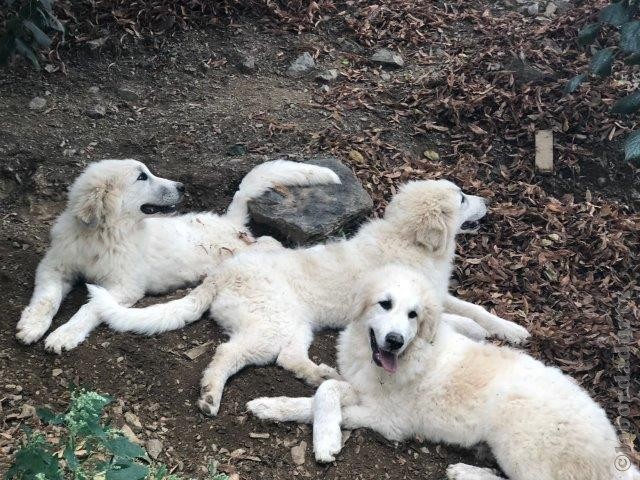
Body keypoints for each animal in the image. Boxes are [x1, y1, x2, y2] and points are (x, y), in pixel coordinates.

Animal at [16, 158, 340, 352]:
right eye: (142, 177)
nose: (182, 187)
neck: (101, 236)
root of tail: (229, 223)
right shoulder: (55, 266)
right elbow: (46, 298)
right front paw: (32, 325)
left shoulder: (125, 286)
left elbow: (91, 307)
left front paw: (64, 334)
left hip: (243, 250)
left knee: (269, 241)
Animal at [90, 180, 528, 416]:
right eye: (461, 199)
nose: (487, 202)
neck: (410, 242)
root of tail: (221, 274)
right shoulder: (402, 306)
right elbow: (452, 319)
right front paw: (474, 330)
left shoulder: (436, 294)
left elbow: (474, 307)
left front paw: (513, 329)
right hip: (271, 324)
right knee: (228, 354)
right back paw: (211, 394)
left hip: (295, 324)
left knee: (288, 358)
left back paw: (322, 374)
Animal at [248, 264, 636, 480]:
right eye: (385, 304)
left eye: (414, 315)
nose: (394, 341)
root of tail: (613, 453)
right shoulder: (358, 384)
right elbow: (321, 392)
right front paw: (270, 406)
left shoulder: (390, 420)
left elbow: (327, 398)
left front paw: (326, 439)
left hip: (519, 431)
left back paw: (464, 472)